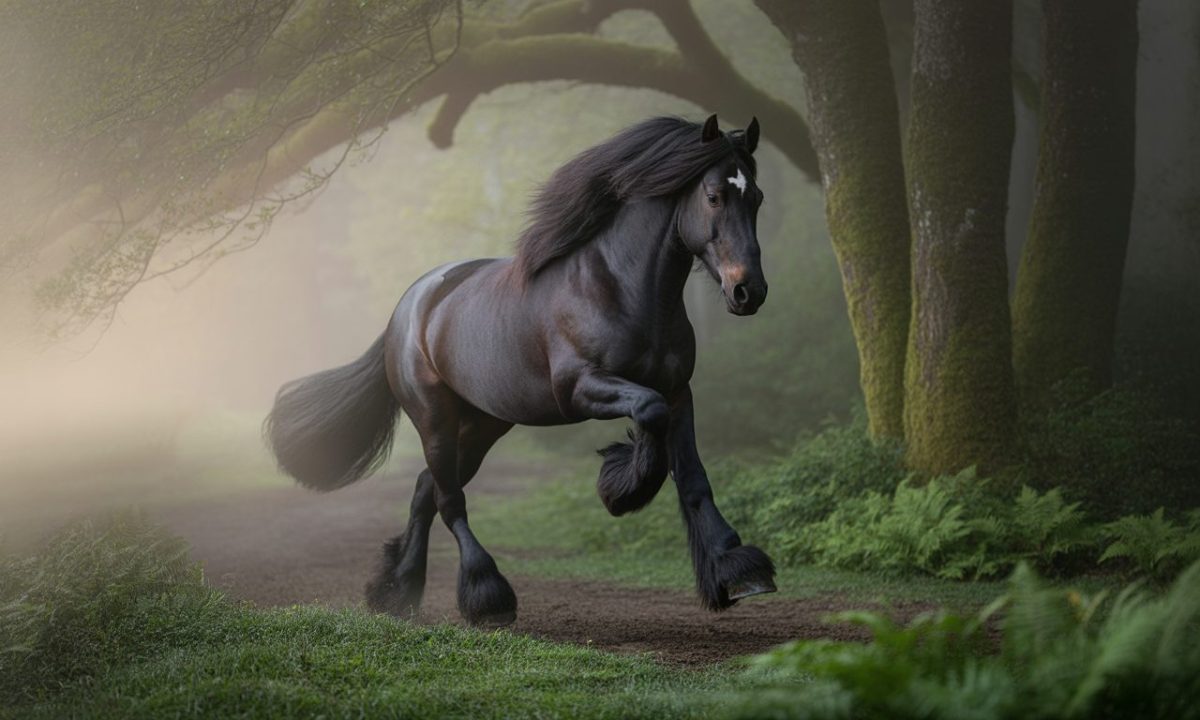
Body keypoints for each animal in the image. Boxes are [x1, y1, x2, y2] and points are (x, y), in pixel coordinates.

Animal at [265, 114, 776, 627]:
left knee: (426, 489)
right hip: (434, 418)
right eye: (714, 196)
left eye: (757, 196)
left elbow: (692, 478)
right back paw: (486, 596)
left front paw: (737, 568)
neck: (620, 287)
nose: (748, 291)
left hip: (483, 425)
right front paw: (622, 487)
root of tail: (408, 306)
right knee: (449, 500)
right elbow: (648, 415)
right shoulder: (581, 389)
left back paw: (398, 591)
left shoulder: (678, 391)